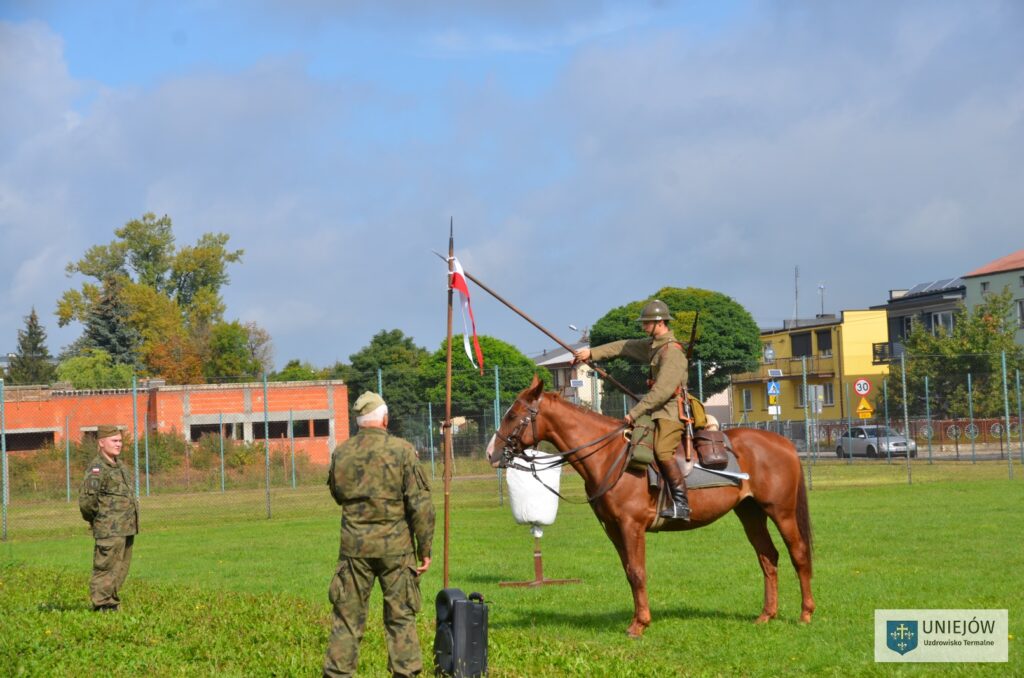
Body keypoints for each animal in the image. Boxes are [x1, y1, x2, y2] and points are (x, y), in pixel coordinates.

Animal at [489, 376, 815, 639]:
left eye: (514, 415)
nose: (492, 452)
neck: (610, 456)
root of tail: (784, 443)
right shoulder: (614, 530)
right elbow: (629, 572)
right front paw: (638, 619)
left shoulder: (631, 526)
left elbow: (637, 572)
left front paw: (639, 624)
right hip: (750, 512)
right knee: (768, 557)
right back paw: (766, 615)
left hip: (781, 511)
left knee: (798, 553)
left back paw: (805, 613)